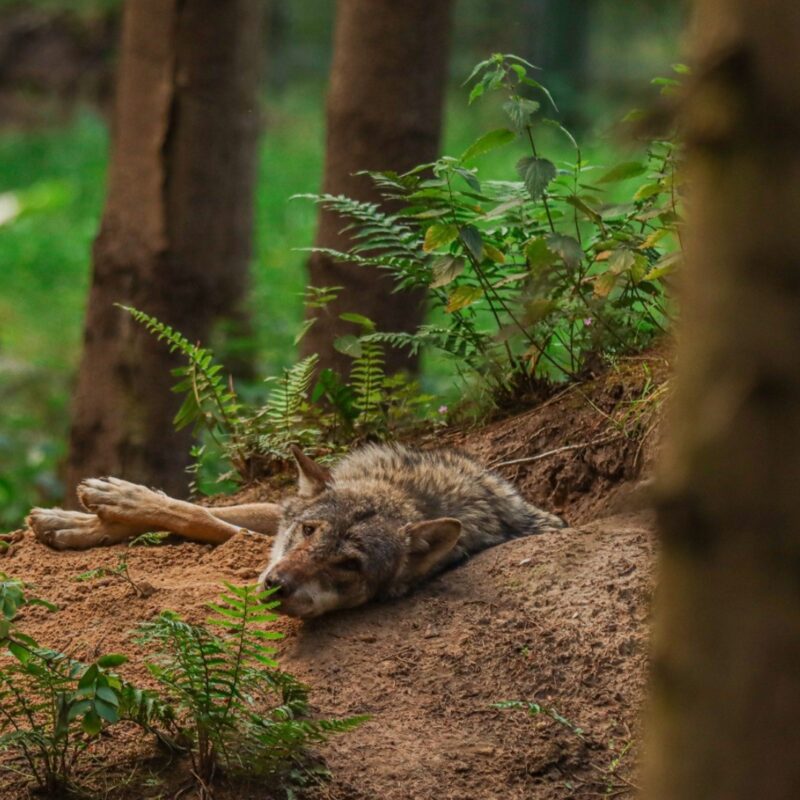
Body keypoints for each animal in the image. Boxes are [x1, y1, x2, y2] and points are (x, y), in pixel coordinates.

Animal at [25, 444, 564, 620]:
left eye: (350, 564)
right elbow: (188, 506)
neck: (407, 491)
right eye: (308, 530)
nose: (278, 585)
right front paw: (80, 517)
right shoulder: (283, 509)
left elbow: (201, 518)